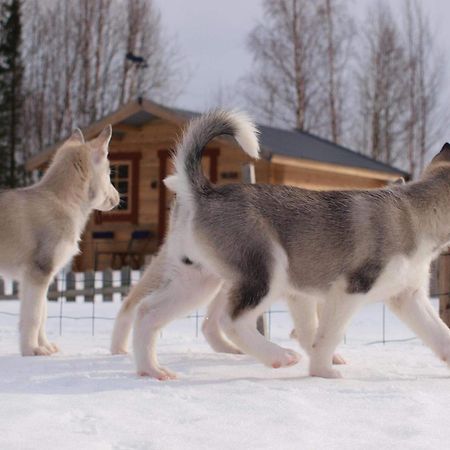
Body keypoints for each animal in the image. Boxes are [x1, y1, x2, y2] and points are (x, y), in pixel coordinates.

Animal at [0, 126, 119, 356]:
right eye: (109, 173)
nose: (118, 198)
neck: (63, 202)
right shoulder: (39, 272)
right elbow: (34, 316)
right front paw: (31, 350)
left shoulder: (37, 277)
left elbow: (42, 315)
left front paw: (44, 346)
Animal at [133, 110, 450, 380]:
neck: (415, 214)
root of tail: (204, 193)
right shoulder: (348, 290)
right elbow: (326, 335)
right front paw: (323, 371)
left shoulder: (407, 297)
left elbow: (441, 334)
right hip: (266, 272)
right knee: (230, 322)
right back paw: (279, 356)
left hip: (197, 282)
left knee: (147, 311)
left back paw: (152, 369)